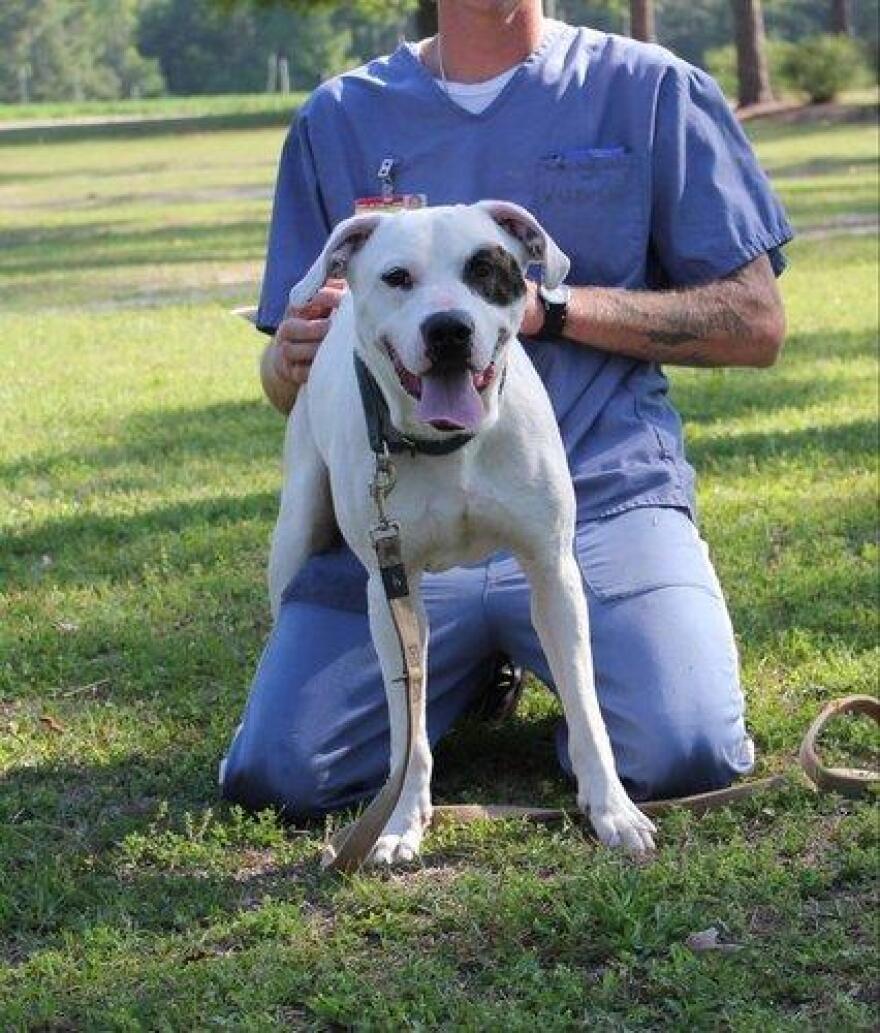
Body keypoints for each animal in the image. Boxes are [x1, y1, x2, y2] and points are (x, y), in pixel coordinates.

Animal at [270, 199, 656, 863]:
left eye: (484, 269)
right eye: (397, 277)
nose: (448, 329)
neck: (451, 445)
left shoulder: (553, 573)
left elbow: (587, 707)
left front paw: (614, 809)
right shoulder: (391, 589)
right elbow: (409, 727)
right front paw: (400, 821)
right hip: (294, 526)